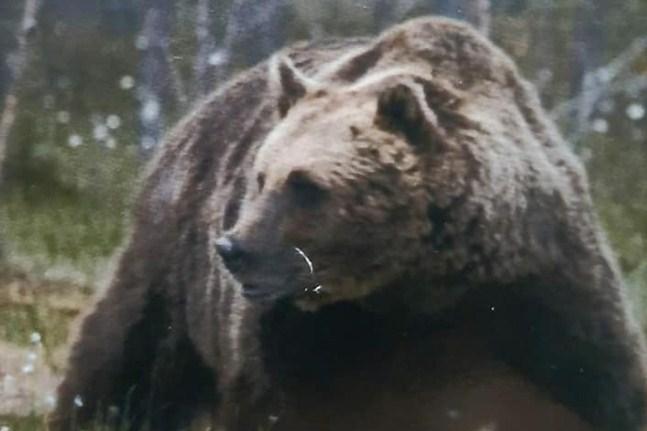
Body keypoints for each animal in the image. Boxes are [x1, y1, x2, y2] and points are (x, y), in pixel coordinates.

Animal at [49, 15, 647, 431]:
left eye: (305, 185)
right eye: (261, 176)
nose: (234, 248)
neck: (411, 289)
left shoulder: (536, 287)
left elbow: (601, 383)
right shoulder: (292, 336)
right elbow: (269, 404)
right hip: (174, 257)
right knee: (125, 354)